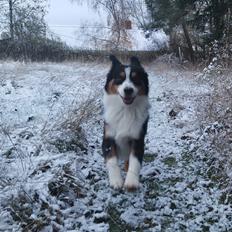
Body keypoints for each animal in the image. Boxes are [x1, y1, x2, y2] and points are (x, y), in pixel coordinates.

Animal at [102, 55, 150, 191]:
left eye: (135, 79)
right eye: (120, 78)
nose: (128, 90)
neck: (125, 110)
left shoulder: (137, 138)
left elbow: (134, 160)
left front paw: (131, 182)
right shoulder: (108, 137)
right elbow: (112, 160)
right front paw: (116, 181)